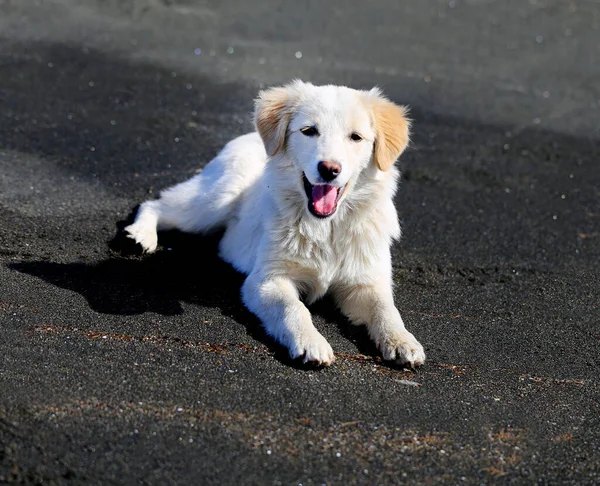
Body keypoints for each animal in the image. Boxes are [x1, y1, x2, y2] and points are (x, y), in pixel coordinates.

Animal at [124, 81, 426, 366]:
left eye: (356, 137)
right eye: (309, 131)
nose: (329, 169)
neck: (326, 228)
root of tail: (250, 136)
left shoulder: (367, 283)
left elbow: (386, 309)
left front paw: (402, 341)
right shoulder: (267, 280)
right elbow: (294, 309)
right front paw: (310, 342)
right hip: (213, 202)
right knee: (155, 203)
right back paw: (140, 235)